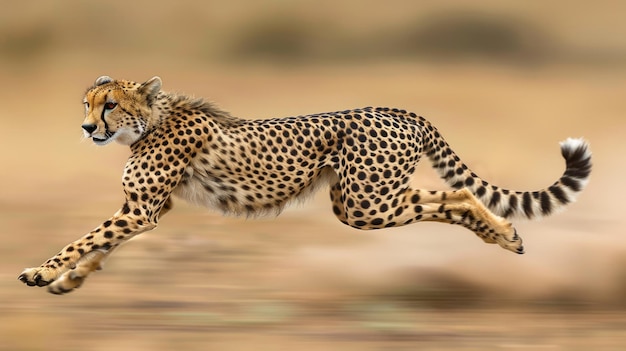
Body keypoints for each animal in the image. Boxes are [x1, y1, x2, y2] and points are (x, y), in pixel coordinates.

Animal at [18, 76, 588, 294]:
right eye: (87, 103)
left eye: (110, 104)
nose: (87, 128)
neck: (152, 119)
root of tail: (401, 109)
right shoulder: (148, 210)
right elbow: (101, 246)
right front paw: (67, 281)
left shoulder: (140, 209)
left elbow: (85, 238)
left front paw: (40, 271)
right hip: (361, 199)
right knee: (451, 197)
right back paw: (506, 236)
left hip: (365, 203)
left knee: (461, 193)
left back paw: (504, 233)